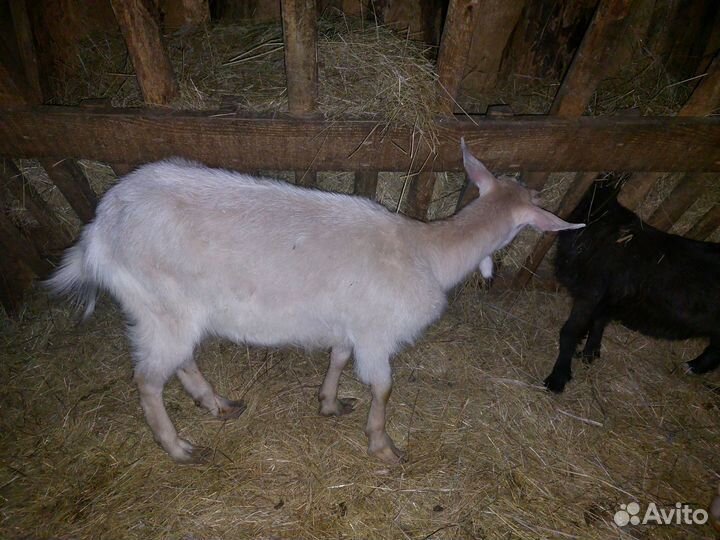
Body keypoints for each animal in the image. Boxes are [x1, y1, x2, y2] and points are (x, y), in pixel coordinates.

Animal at [47, 140, 583, 464]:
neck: (426, 251)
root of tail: (97, 234)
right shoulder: (378, 333)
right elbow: (384, 388)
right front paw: (383, 446)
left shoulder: (351, 325)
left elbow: (339, 358)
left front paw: (329, 403)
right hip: (159, 304)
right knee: (147, 379)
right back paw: (179, 446)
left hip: (167, 311)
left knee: (178, 361)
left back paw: (216, 404)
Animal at [545, 175, 720, 393]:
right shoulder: (607, 296)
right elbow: (599, 321)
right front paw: (590, 353)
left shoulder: (591, 291)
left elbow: (570, 331)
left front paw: (557, 378)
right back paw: (694, 366)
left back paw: (693, 367)